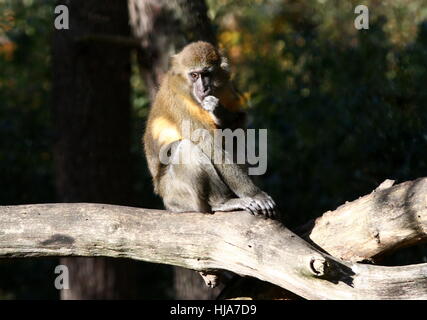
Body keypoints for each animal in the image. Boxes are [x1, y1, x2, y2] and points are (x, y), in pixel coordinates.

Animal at [144, 41, 278, 219]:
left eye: (206, 74)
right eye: (194, 75)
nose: (203, 89)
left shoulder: (227, 87)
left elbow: (238, 124)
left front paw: (219, 112)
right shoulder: (179, 102)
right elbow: (211, 145)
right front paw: (255, 194)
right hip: (175, 195)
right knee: (186, 147)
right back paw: (220, 202)